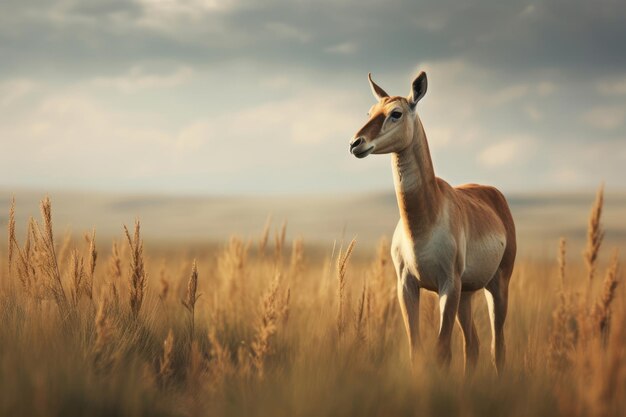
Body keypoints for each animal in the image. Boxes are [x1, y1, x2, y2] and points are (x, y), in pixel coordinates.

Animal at [348, 71, 516, 374]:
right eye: (370, 111)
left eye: (396, 113)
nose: (356, 143)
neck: (422, 225)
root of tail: (493, 194)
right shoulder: (407, 285)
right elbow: (417, 351)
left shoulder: (447, 286)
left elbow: (441, 351)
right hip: (467, 294)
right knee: (473, 346)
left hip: (496, 286)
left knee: (497, 348)